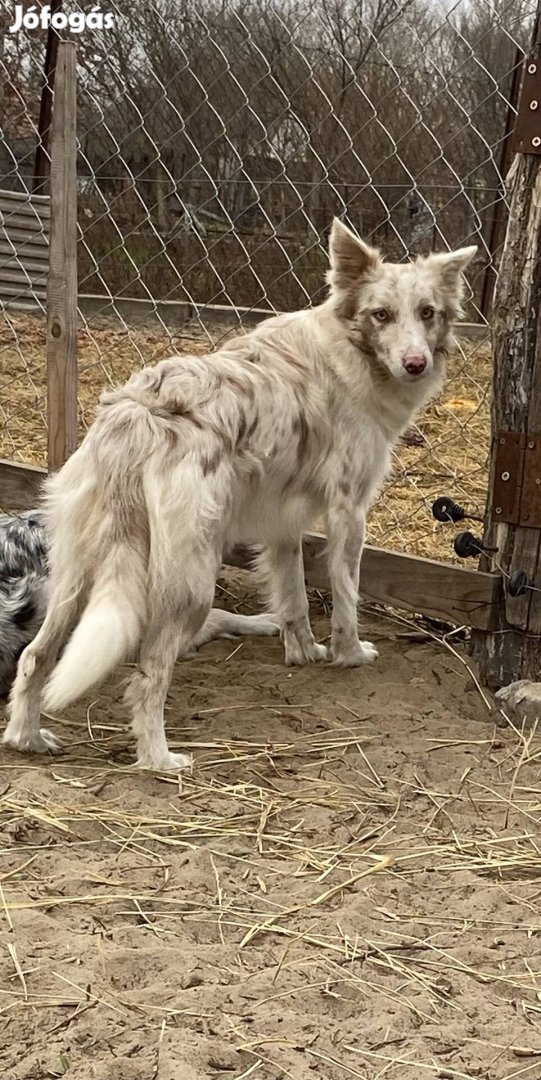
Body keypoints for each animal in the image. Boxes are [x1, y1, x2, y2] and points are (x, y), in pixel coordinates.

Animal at [4, 221, 477, 768]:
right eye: (381, 315)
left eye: (428, 313)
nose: (415, 364)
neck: (348, 351)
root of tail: (140, 415)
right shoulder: (349, 513)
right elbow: (346, 599)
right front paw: (349, 655)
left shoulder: (283, 525)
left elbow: (294, 600)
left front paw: (304, 654)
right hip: (188, 581)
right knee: (149, 672)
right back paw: (159, 758)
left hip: (75, 576)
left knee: (36, 657)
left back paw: (27, 737)